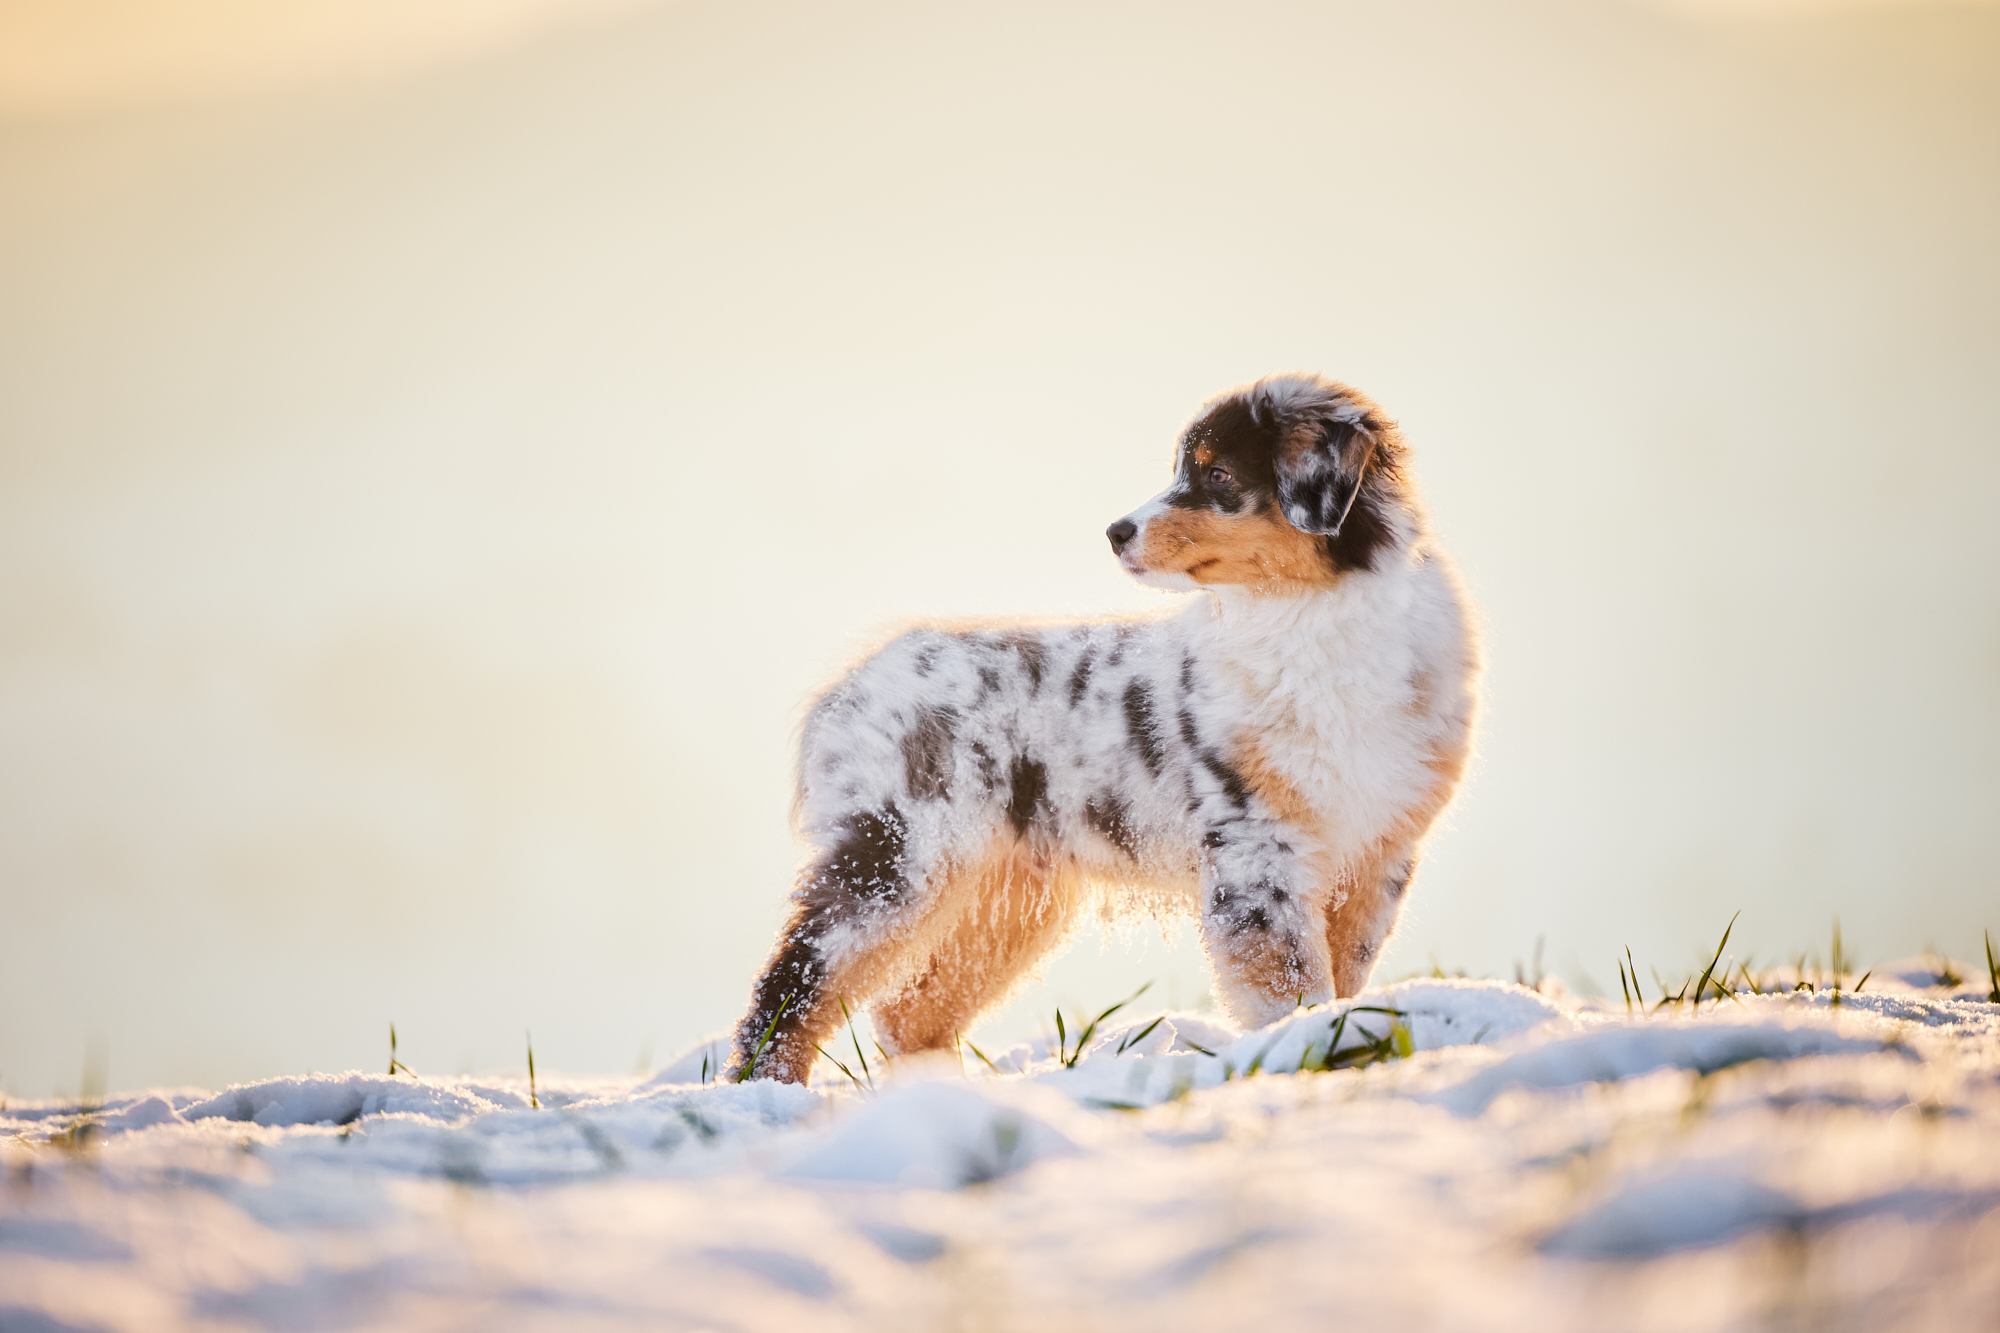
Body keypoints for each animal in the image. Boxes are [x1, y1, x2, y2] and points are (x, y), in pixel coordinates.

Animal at [728, 370, 1480, 1080]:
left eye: (1218, 475)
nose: (1115, 532)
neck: (1309, 614)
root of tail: (848, 685)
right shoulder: (1256, 841)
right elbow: (1285, 975)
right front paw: (1305, 1046)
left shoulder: (1376, 848)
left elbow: (1341, 969)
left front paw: (1341, 1040)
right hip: (897, 855)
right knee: (794, 982)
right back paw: (771, 1086)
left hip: (1007, 895)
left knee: (908, 1011)